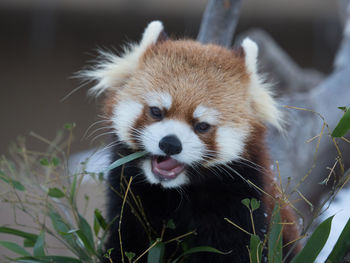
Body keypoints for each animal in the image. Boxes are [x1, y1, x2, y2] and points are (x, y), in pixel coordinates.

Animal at [85, 21, 300, 263]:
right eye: (156, 111)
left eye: (202, 126)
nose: (170, 144)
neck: (175, 193)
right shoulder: (128, 197)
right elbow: (126, 243)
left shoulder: (243, 201)